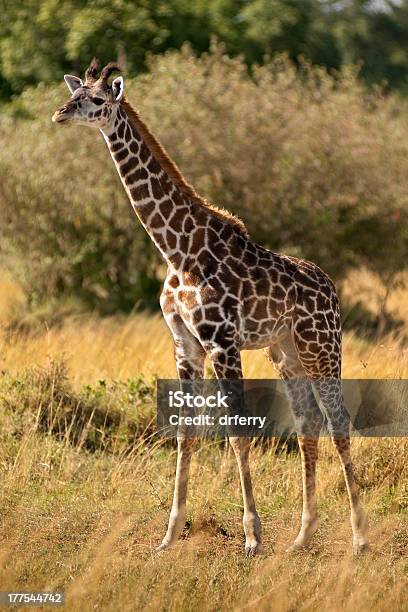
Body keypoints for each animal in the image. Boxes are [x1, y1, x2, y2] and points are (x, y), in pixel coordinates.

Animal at [51, 59, 370, 556]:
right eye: (73, 94)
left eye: (97, 100)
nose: (60, 114)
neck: (176, 250)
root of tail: (332, 289)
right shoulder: (185, 345)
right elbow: (186, 433)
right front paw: (168, 536)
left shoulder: (222, 342)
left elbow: (237, 431)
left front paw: (252, 538)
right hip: (286, 352)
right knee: (308, 424)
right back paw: (302, 538)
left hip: (322, 348)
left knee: (339, 422)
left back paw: (358, 539)